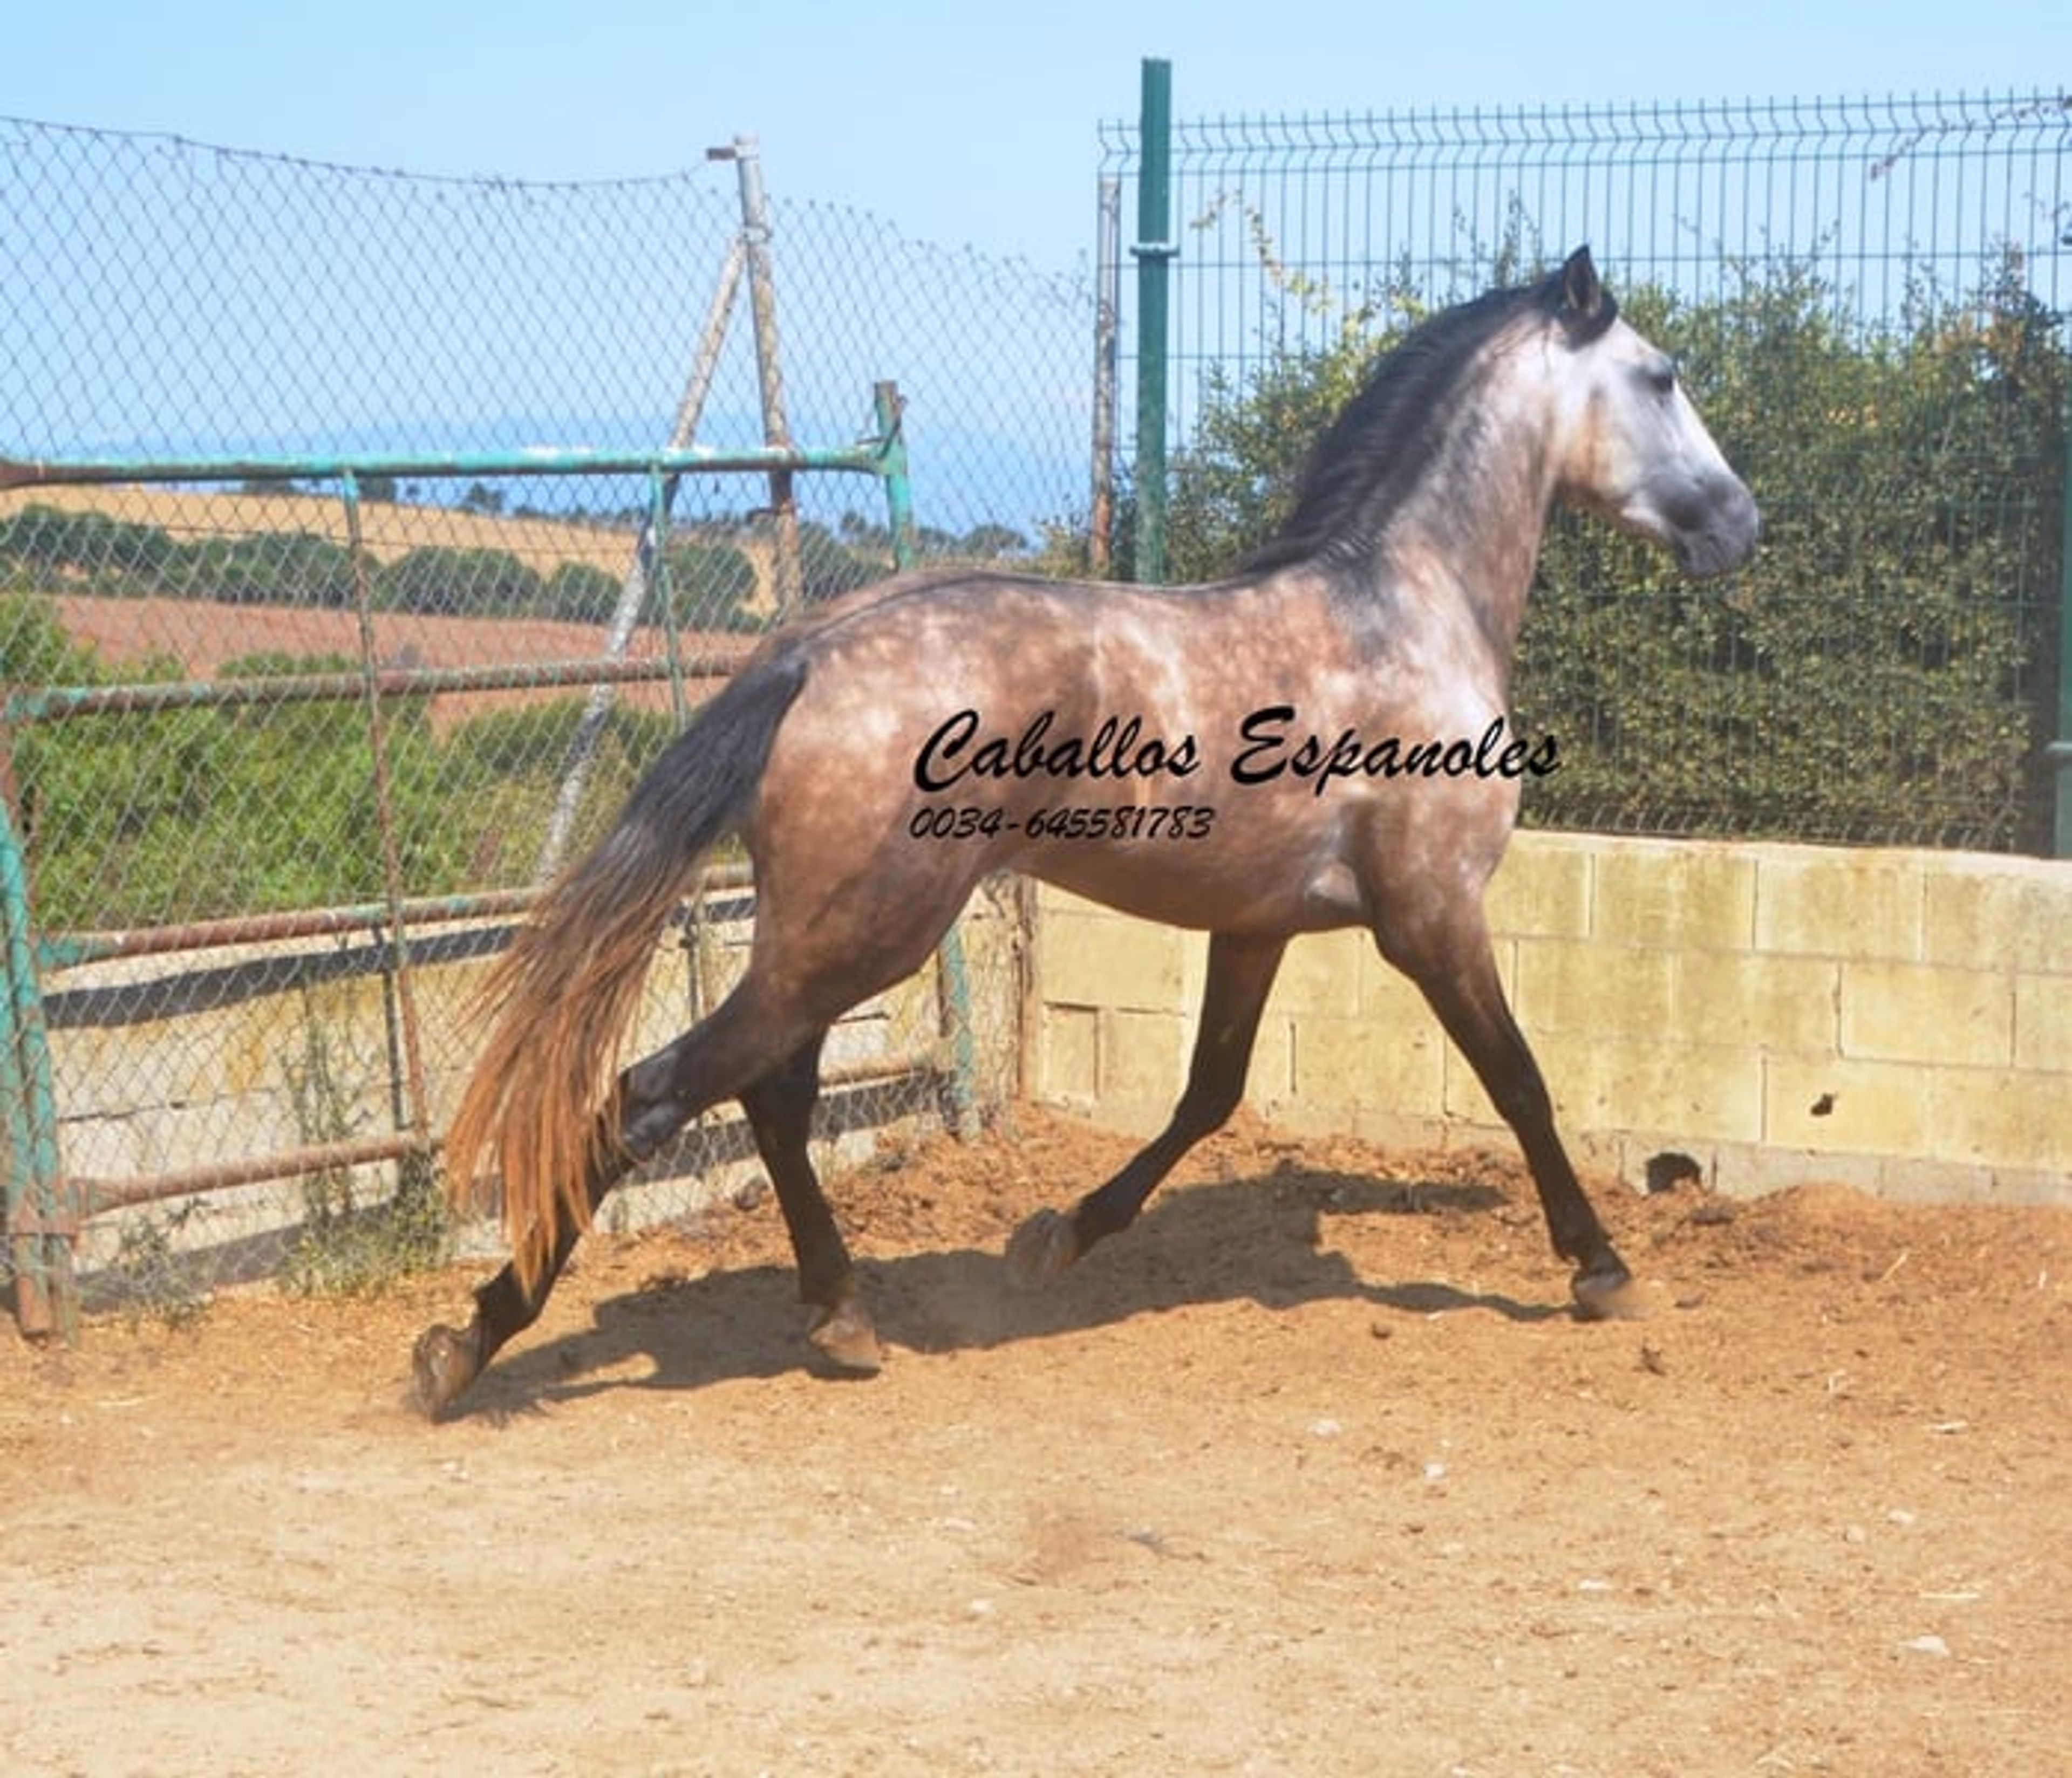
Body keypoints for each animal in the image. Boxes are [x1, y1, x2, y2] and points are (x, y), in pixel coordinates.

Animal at [411, 246, 1759, 1418]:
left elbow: (1210, 1092)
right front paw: (1602, 1269)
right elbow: (1521, 1082)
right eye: (1663, 375)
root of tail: (809, 654)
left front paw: (1054, 1236)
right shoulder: (1432, 916)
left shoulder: (1259, 926)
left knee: (770, 1099)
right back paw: (466, 1346)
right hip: (865, 935)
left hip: (826, 941)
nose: (1740, 525)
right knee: (654, 1091)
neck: (1403, 613)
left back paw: (840, 1319)